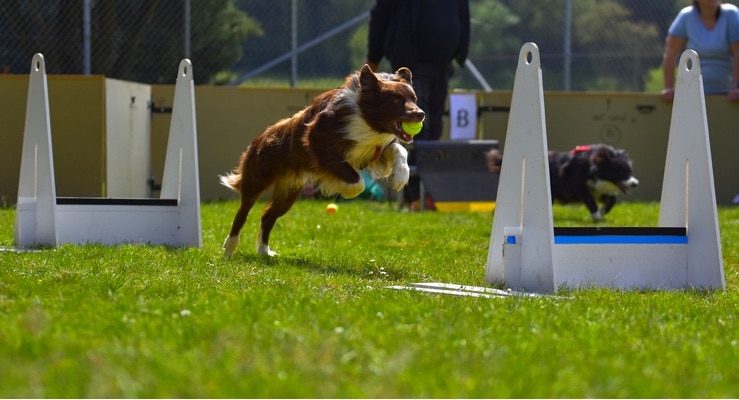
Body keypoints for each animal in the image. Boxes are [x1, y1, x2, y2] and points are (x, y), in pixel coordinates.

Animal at [220, 64, 424, 258]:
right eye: (396, 100)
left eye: (414, 99)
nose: (421, 114)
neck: (366, 117)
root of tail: (260, 138)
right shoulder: (316, 141)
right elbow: (356, 181)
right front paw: (344, 191)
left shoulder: (374, 151)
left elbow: (399, 149)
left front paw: (400, 176)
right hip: (258, 178)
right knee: (242, 213)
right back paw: (229, 248)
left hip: (289, 191)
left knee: (268, 216)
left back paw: (264, 251)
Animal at [488, 144, 640, 220]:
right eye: (621, 173)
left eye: (630, 171)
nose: (635, 183)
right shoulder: (577, 184)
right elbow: (589, 199)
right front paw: (596, 215)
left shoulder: (599, 188)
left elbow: (612, 199)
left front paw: (603, 211)